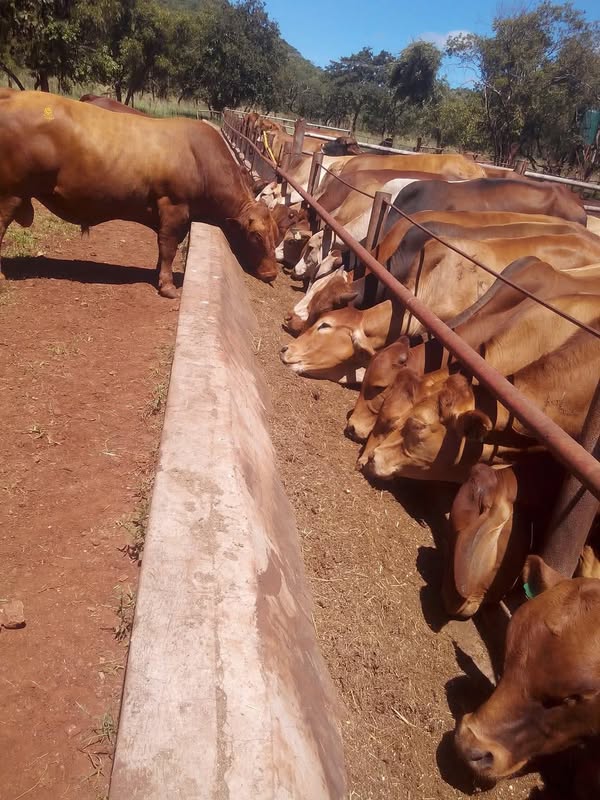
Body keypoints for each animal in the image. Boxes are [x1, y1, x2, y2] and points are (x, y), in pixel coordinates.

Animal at [0, 90, 279, 297]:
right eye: (255, 235)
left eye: (276, 235)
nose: (272, 273)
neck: (200, 159)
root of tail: (13, 94)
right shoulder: (174, 207)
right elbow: (168, 246)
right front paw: (167, 285)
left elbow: (166, 246)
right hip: (11, 194)